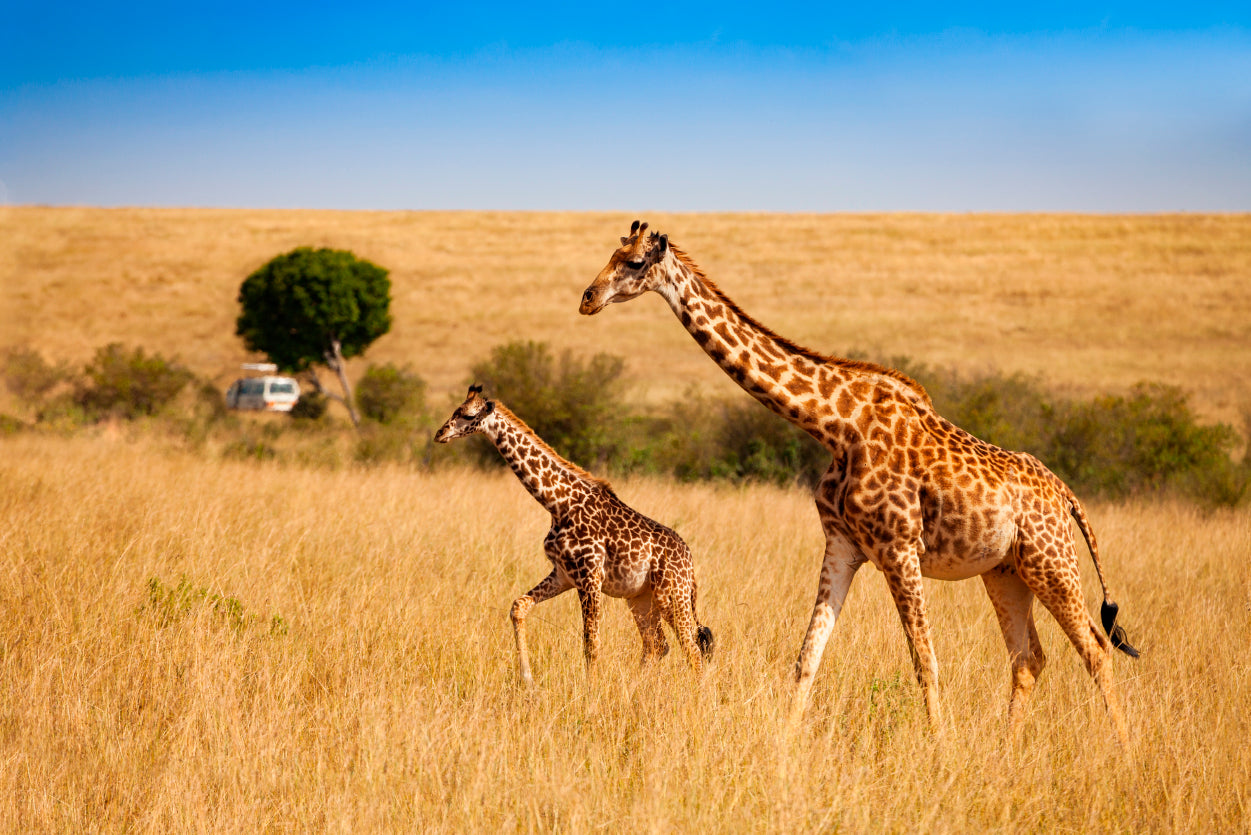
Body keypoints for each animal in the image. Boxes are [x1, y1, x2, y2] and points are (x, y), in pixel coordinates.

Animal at [434, 384, 715, 685]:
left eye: (467, 415)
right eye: (455, 410)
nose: (440, 434)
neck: (558, 503)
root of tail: (689, 561)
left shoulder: (590, 577)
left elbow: (591, 642)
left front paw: (591, 691)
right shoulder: (563, 574)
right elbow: (518, 606)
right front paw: (527, 678)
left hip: (672, 593)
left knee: (691, 647)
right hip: (641, 597)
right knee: (657, 645)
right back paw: (636, 686)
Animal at [579, 221, 1139, 742]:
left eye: (633, 262)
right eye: (610, 255)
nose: (587, 298)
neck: (835, 424)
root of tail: (1065, 494)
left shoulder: (899, 547)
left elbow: (925, 662)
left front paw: (940, 750)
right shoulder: (843, 545)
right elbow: (807, 657)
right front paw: (784, 747)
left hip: (1052, 561)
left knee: (1096, 649)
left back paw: (1123, 751)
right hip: (1005, 571)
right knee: (1029, 658)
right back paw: (1006, 748)